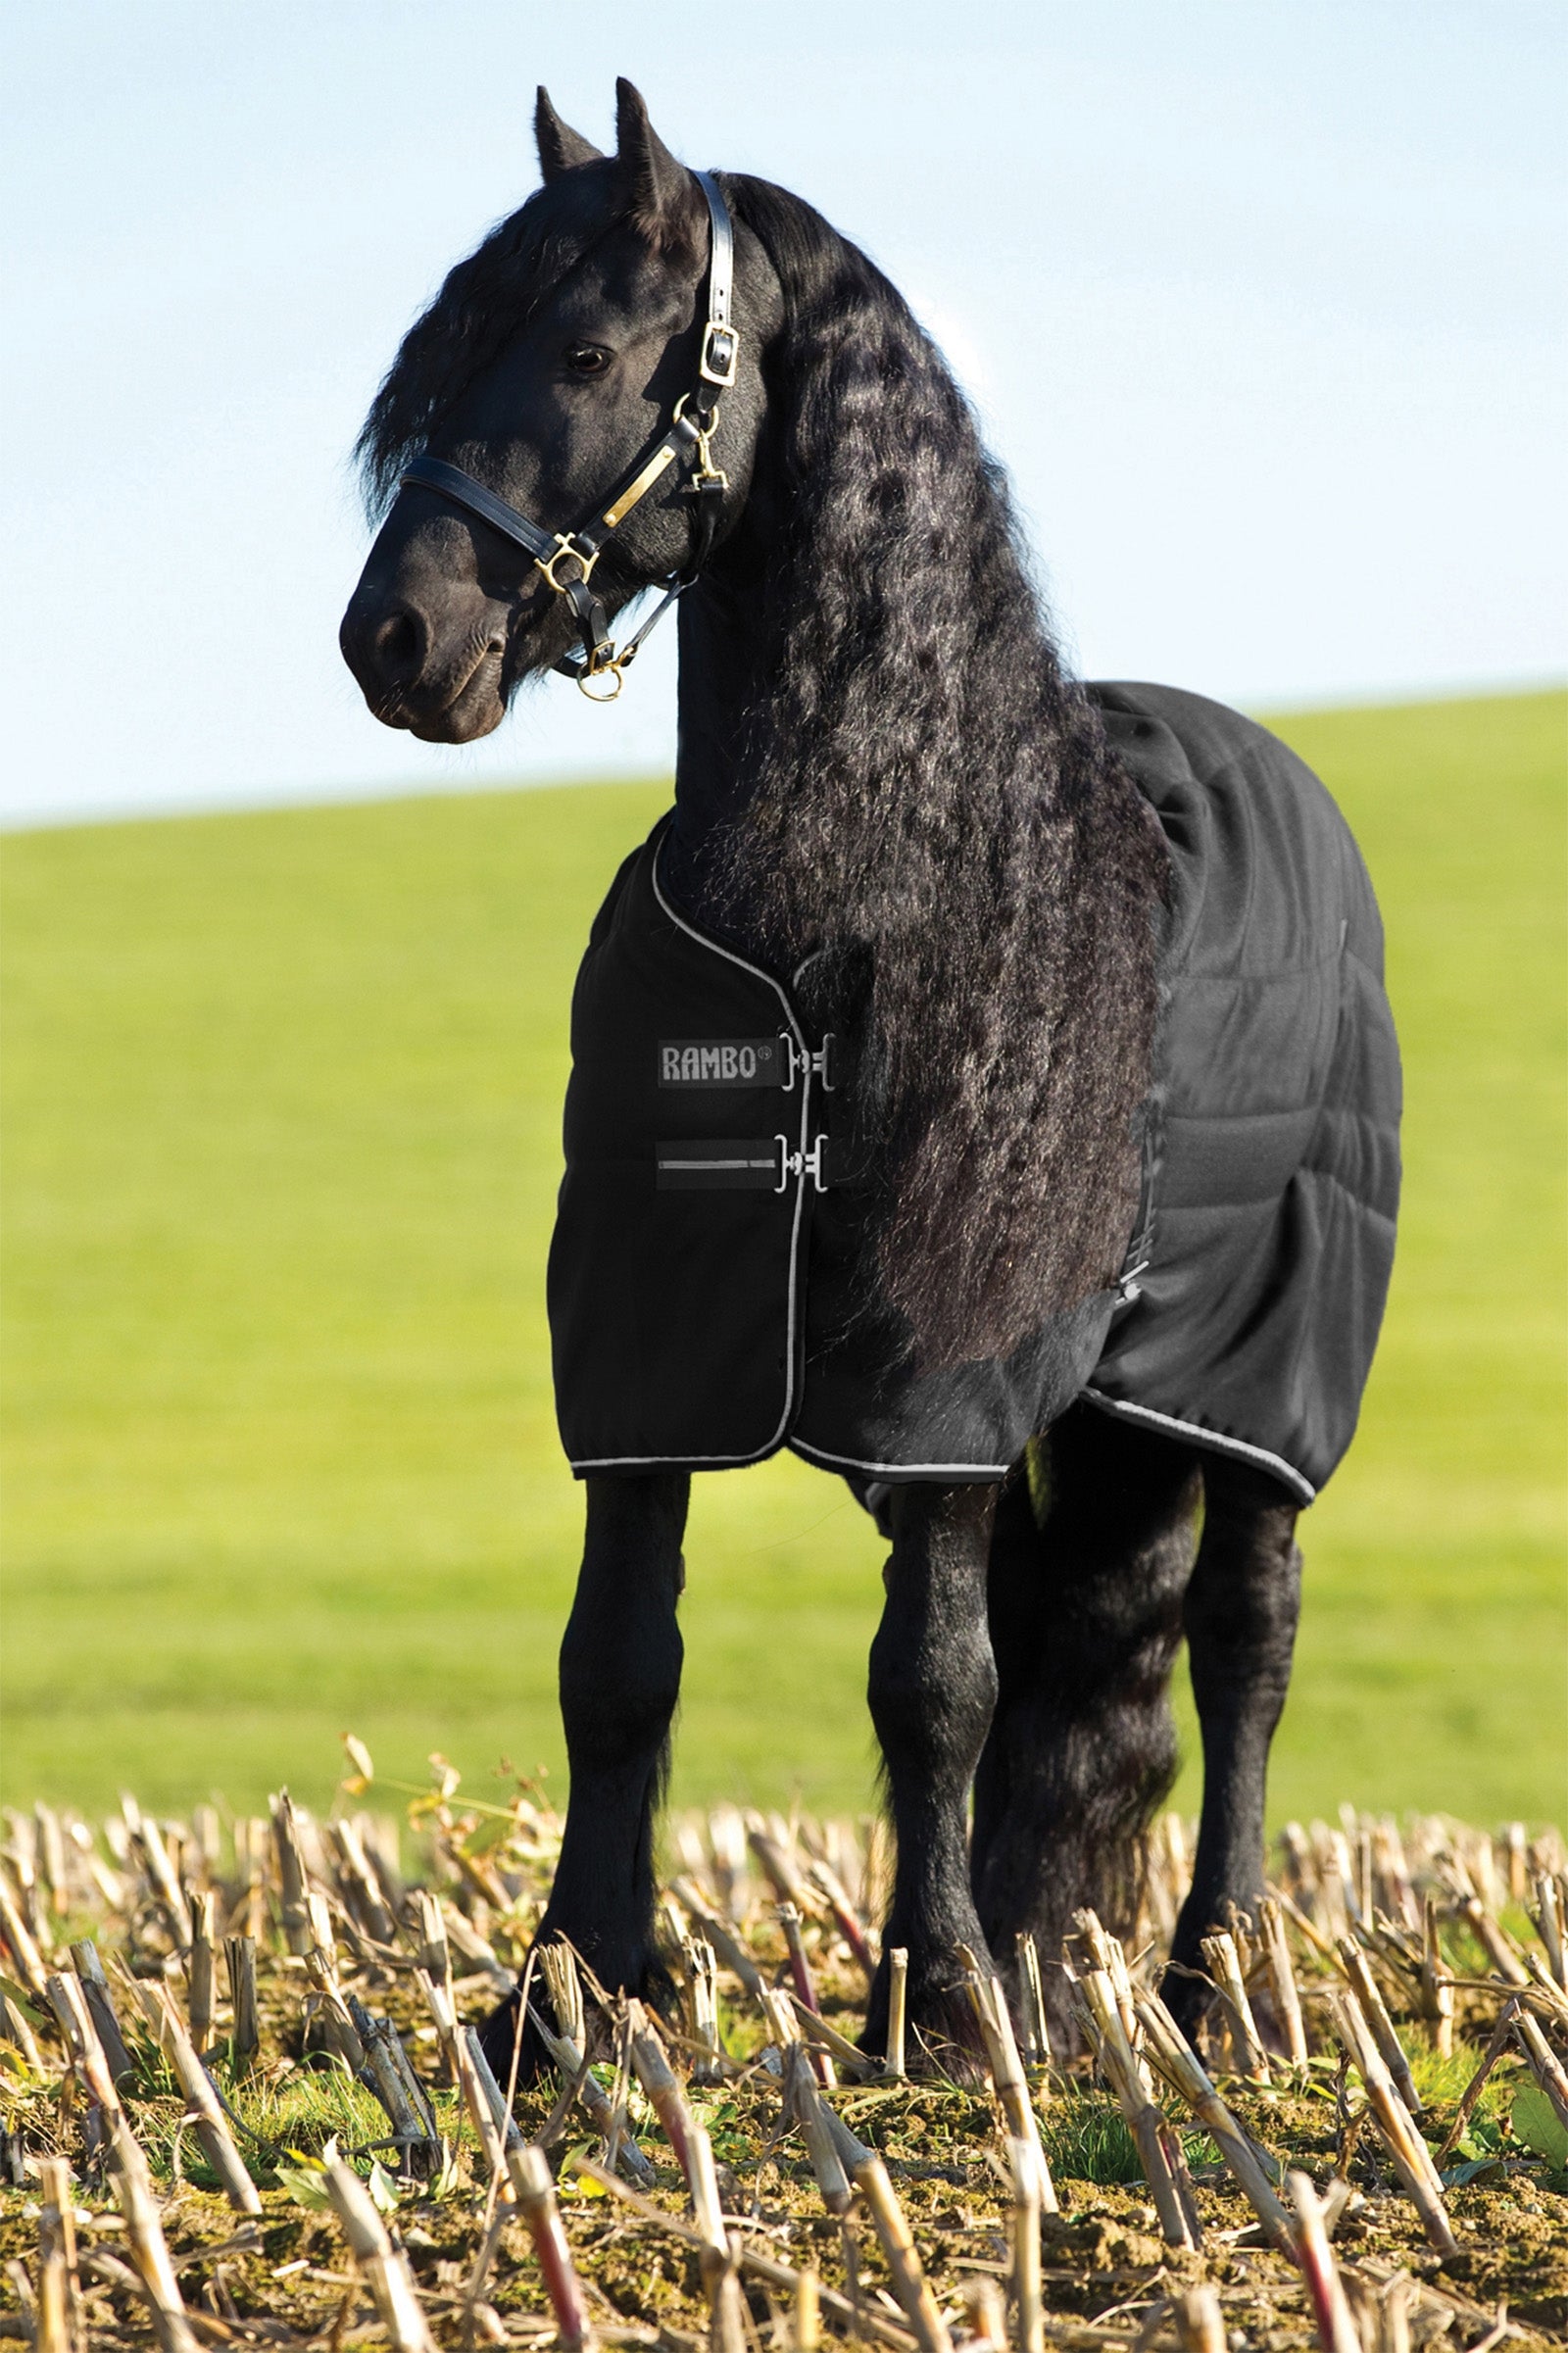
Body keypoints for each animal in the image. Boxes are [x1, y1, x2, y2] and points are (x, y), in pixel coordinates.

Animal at [339, 80, 1401, 2068]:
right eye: (440, 358)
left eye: (586, 350)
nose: (396, 641)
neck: (862, 877)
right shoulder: (648, 1342)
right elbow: (619, 1664)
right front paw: (569, 1995)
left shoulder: (944, 1384)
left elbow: (935, 1681)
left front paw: (944, 2016)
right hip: (1112, 1401)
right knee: (1091, 1642)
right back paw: (1059, 1953)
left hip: (1260, 1391)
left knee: (1247, 1642)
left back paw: (1214, 1980)